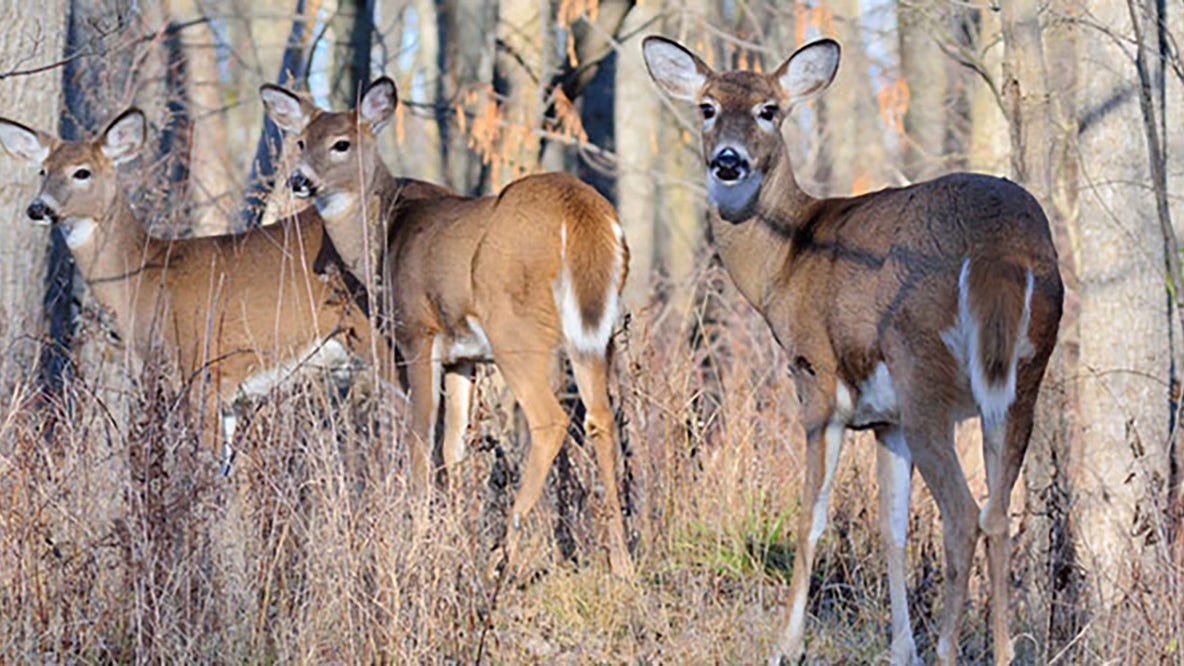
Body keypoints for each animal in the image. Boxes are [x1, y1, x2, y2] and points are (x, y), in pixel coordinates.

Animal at [0, 108, 418, 473]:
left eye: (82, 172)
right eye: (42, 170)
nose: (38, 208)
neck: (143, 277)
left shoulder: (199, 370)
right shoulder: (229, 394)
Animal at [259, 78, 634, 577]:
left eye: (342, 144)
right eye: (300, 141)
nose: (298, 179)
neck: (384, 237)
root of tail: (582, 214)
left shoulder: (419, 335)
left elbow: (421, 440)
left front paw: (417, 544)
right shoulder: (464, 357)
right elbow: (454, 450)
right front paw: (453, 538)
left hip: (514, 329)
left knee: (550, 420)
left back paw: (504, 556)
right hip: (596, 334)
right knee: (601, 419)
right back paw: (622, 560)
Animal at [644, 37, 1063, 664]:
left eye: (769, 109)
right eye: (707, 107)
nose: (728, 161)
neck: (784, 262)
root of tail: (1002, 249)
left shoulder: (817, 377)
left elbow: (811, 515)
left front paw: (786, 644)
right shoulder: (886, 420)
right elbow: (893, 528)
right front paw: (901, 649)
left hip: (923, 372)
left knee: (963, 514)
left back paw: (947, 649)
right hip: (1023, 382)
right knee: (997, 513)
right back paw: (1002, 650)